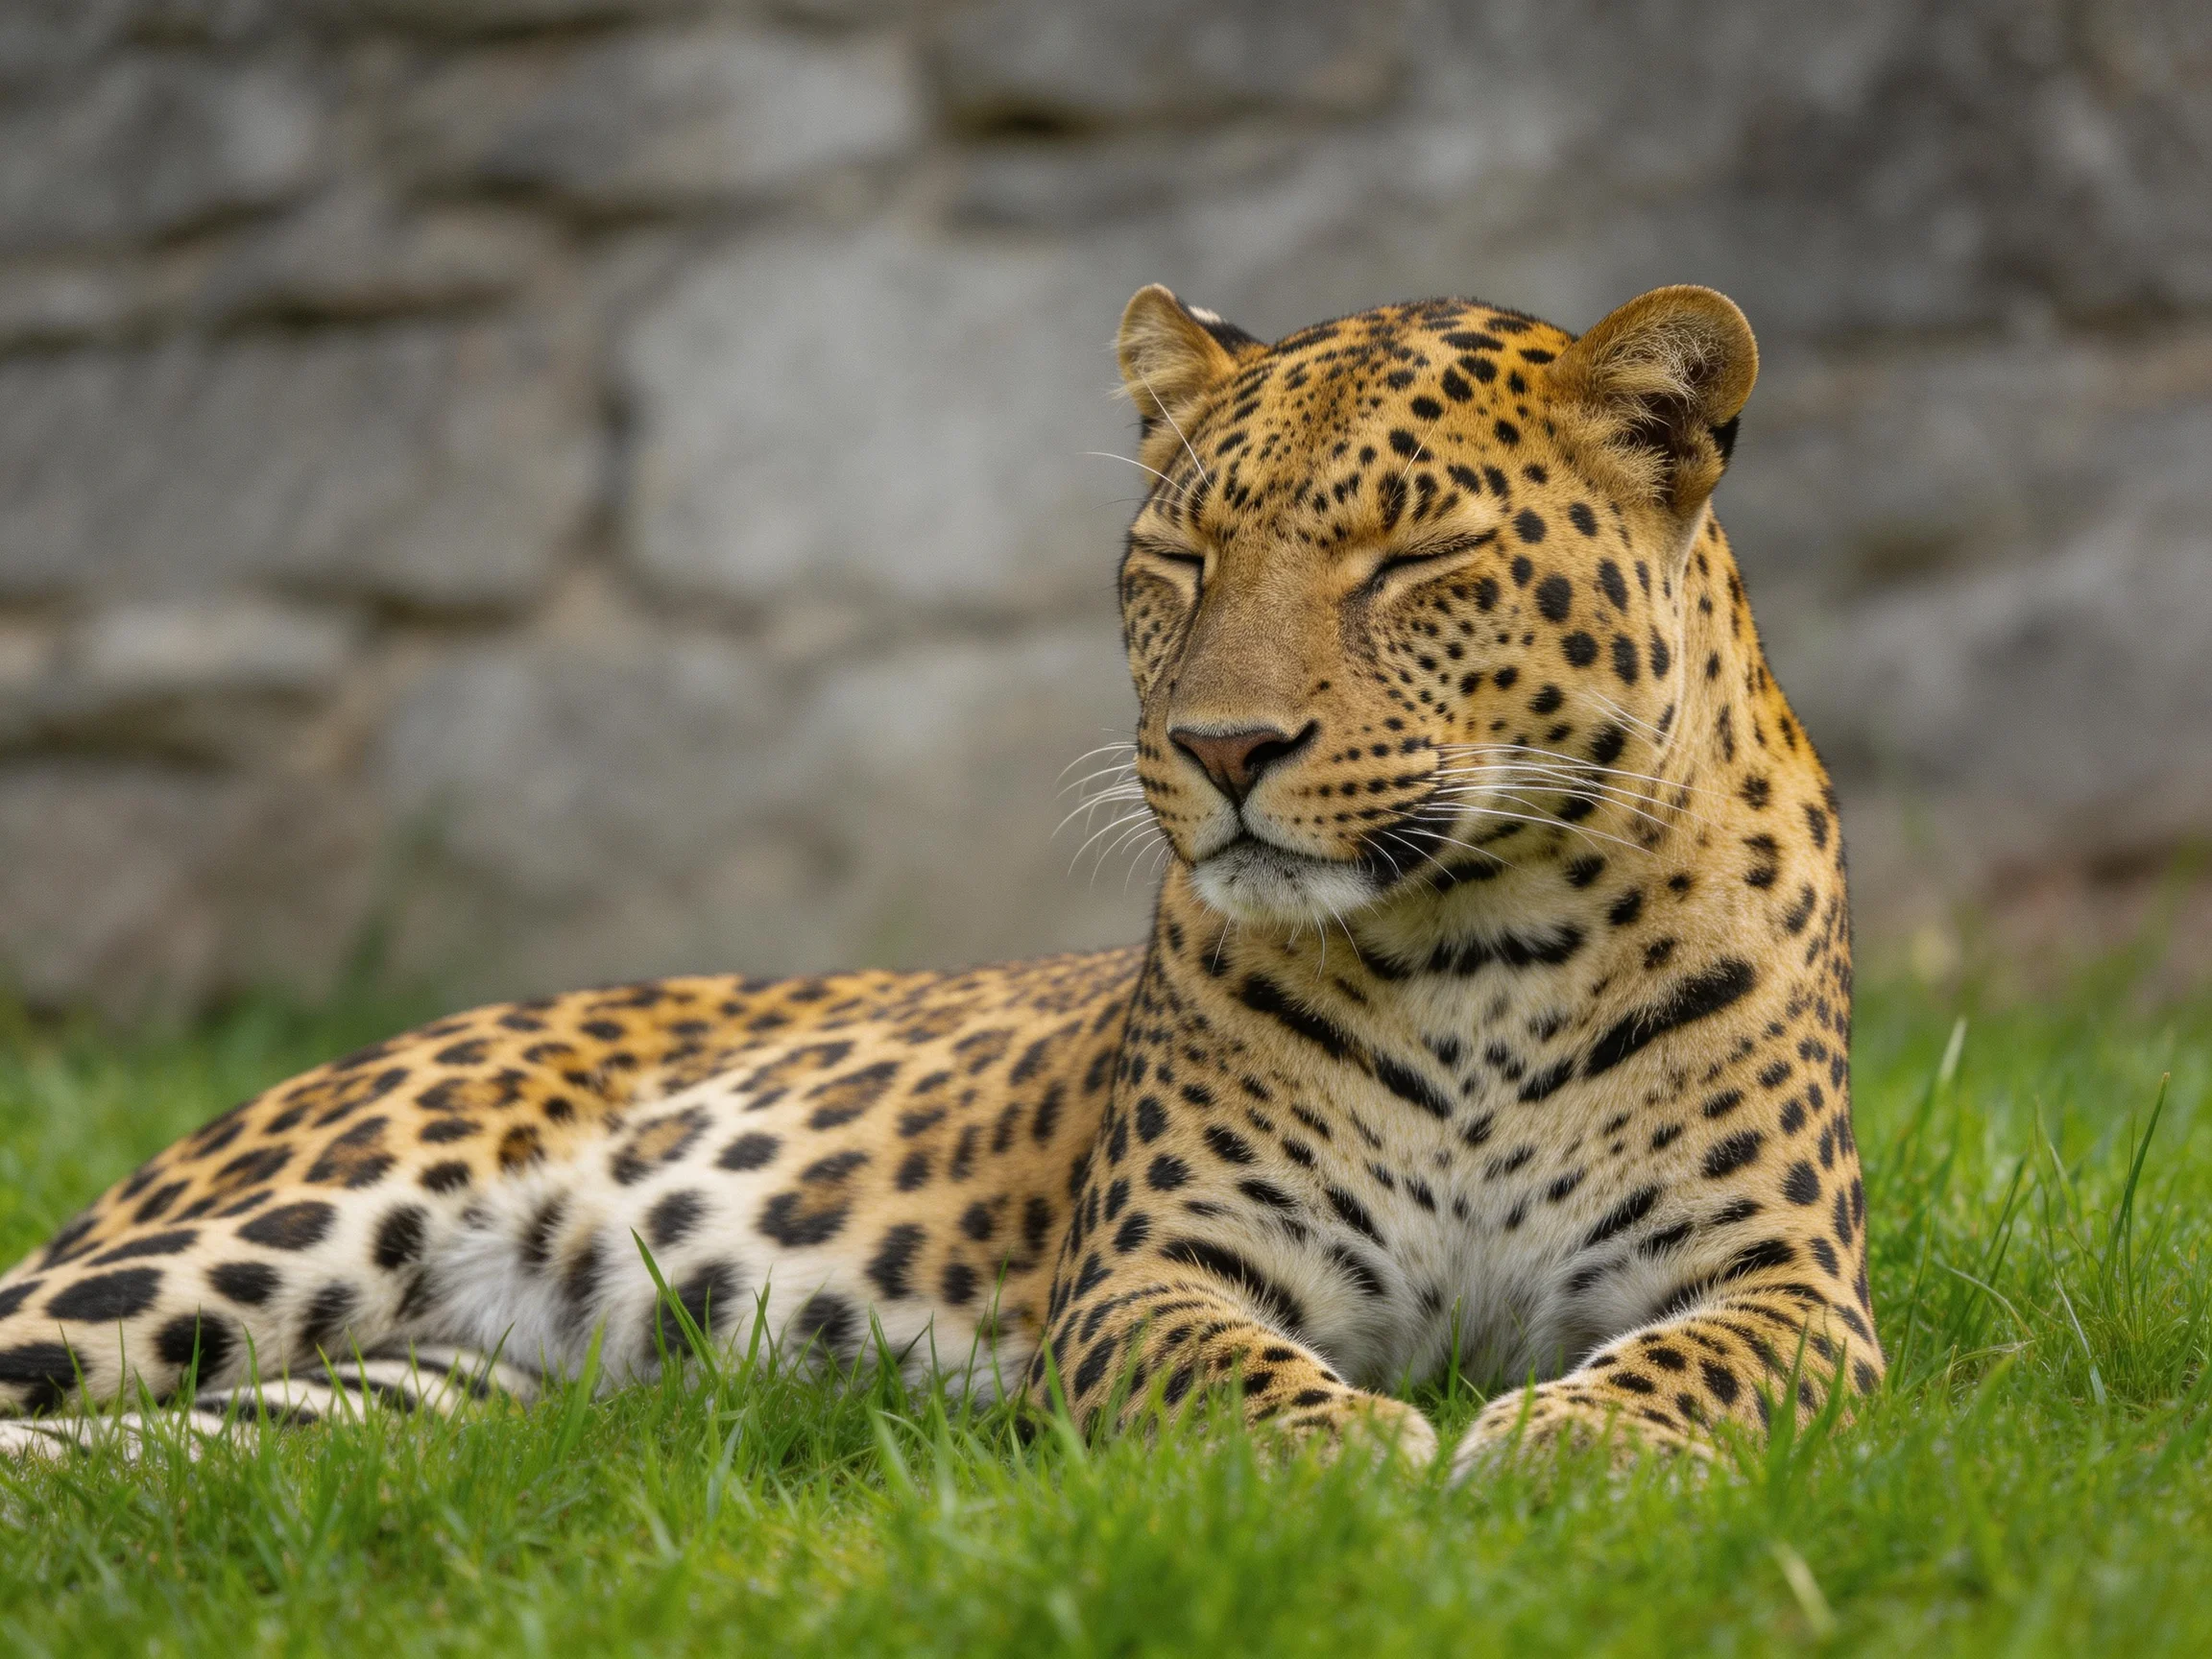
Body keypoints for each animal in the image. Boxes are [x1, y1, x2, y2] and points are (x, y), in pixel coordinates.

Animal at [0, 281, 1877, 1475]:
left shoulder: (1787, 1279)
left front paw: (1567, 1448)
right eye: (1177, 554)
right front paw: (1358, 1455)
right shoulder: (1150, 1272)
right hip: (269, 1230)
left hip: (402, 1389)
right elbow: (1228, 1376)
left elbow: (1698, 1363)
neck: (1474, 939)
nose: (1222, 748)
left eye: (1413, 559)